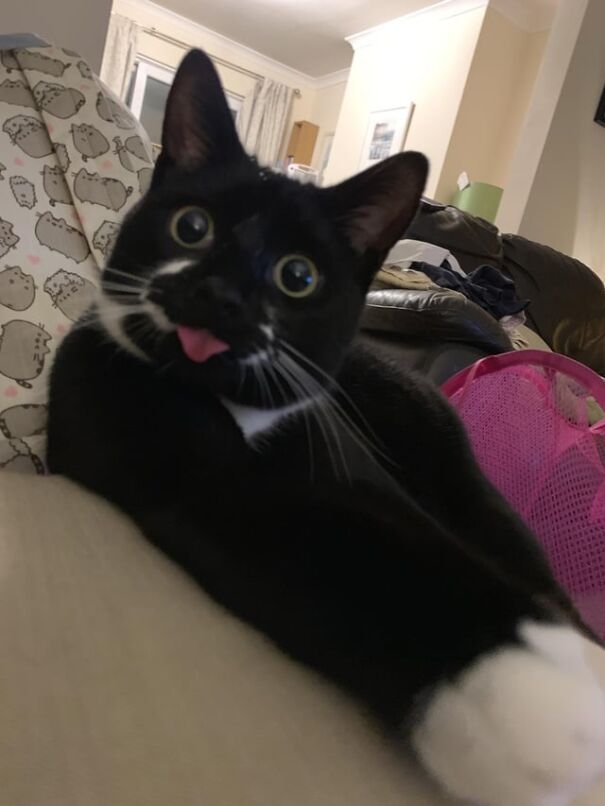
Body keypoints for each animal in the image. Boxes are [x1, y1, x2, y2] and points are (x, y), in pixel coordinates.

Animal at [48, 52, 604, 806]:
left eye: (299, 275)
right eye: (191, 227)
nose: (221, 295)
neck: (243, 411)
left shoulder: (340, 453)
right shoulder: (167, 453)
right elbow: (331, 547)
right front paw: (531, 700)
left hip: (460, 475)